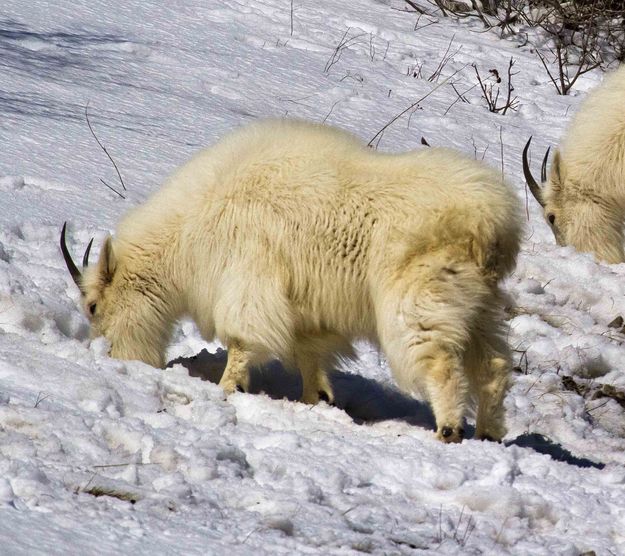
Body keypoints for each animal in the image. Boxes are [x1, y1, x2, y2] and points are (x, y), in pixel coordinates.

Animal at [63, 118, 520, 444]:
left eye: (93, 306)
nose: (109, 354)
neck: (188, 229)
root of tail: (492, 224)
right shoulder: (305, 314)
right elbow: (309, 360)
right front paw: (315, 401)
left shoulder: (250, 280)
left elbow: (242, 341)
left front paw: (228, 388)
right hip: (479, 305)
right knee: (494, 364)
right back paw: (489, 432)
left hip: (420, 298)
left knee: (441, 361)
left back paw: (449, 429)